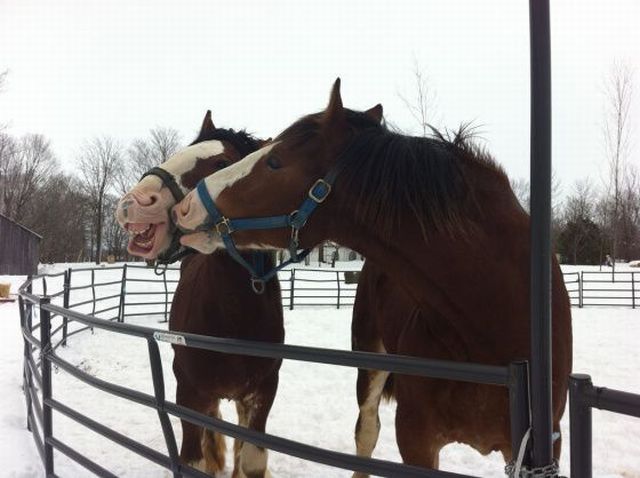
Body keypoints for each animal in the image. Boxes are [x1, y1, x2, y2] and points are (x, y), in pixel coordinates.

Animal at [116, 113, 282, 478]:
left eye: (221, 163)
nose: (133, 204)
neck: (235, 318)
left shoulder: (262, 394)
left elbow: (250, 460)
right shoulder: (189, 393)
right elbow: (195, 458)